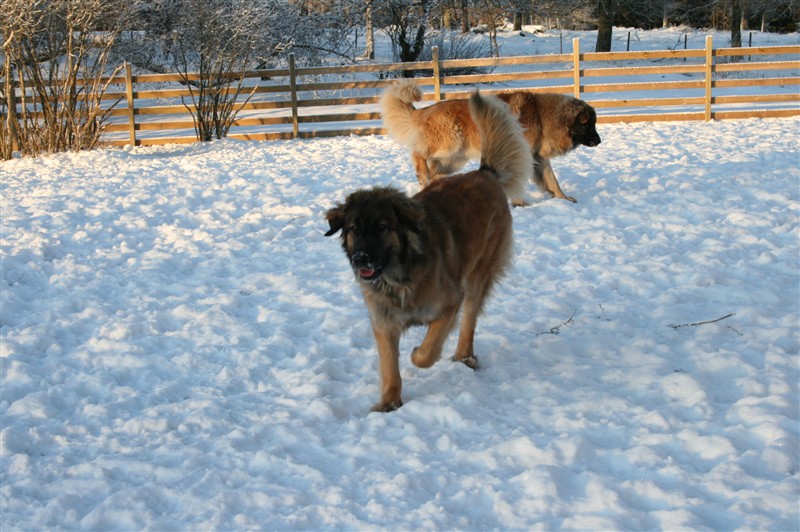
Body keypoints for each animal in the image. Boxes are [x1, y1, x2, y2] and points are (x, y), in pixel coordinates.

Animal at [324, 91, 532, 412]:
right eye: (354, 229)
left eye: (382, 227)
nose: (361, 259)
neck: (398, 277)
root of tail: (484, 173)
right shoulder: (383, 322)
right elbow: (389, 366)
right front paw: (389, 402)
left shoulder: (449, 303)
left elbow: (428, 350)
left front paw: (415, 354)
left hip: (477, 276)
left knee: (469, 322)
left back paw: (464, 357)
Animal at [382, 80, 600, 203]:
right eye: (589, 124)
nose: (599, 141)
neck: (543, 116)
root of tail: (425, 110)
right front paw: (520, 203)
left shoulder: (538, 158)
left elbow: (552, 180)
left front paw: (563, 198)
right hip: (451, 142)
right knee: (419, 154)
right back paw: (421, 173)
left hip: (454, 158)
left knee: (435, 172)